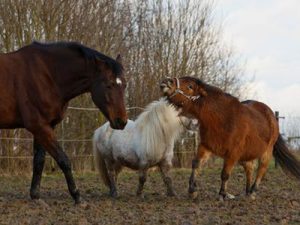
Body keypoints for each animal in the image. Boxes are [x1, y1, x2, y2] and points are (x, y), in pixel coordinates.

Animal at [0, 40, 127, 204]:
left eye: (124, 85)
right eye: (109, 84)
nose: (121, 121)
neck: (48, 75)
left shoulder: (45, 126)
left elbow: (39, 161)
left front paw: (35, 195)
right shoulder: (39, 126)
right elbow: (63, 160)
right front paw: (77, 196)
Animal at [161, 76, 300, 200]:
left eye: (190, 86)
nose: (167, 81)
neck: (222, 119)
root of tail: (271, 114)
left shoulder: (233, 153)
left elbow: (225, 174)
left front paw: (222, 194)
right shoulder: (206, 146)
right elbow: (196, 164)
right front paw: (192, 191)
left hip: (266, 151)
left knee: (261, 170)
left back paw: (253, 192)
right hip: (246, 155)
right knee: (250, 168)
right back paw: (247, 192)